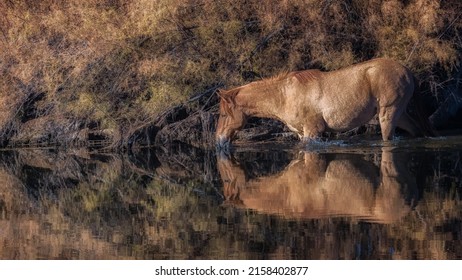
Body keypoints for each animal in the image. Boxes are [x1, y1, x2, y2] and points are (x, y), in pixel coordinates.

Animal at [216, 57, 430, 148]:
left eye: (223, 114)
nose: (218, 139)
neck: (284, 95)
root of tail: (407, 71)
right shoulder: (302, 133)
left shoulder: (313, 131)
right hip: (399, 114)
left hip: (388, 114)